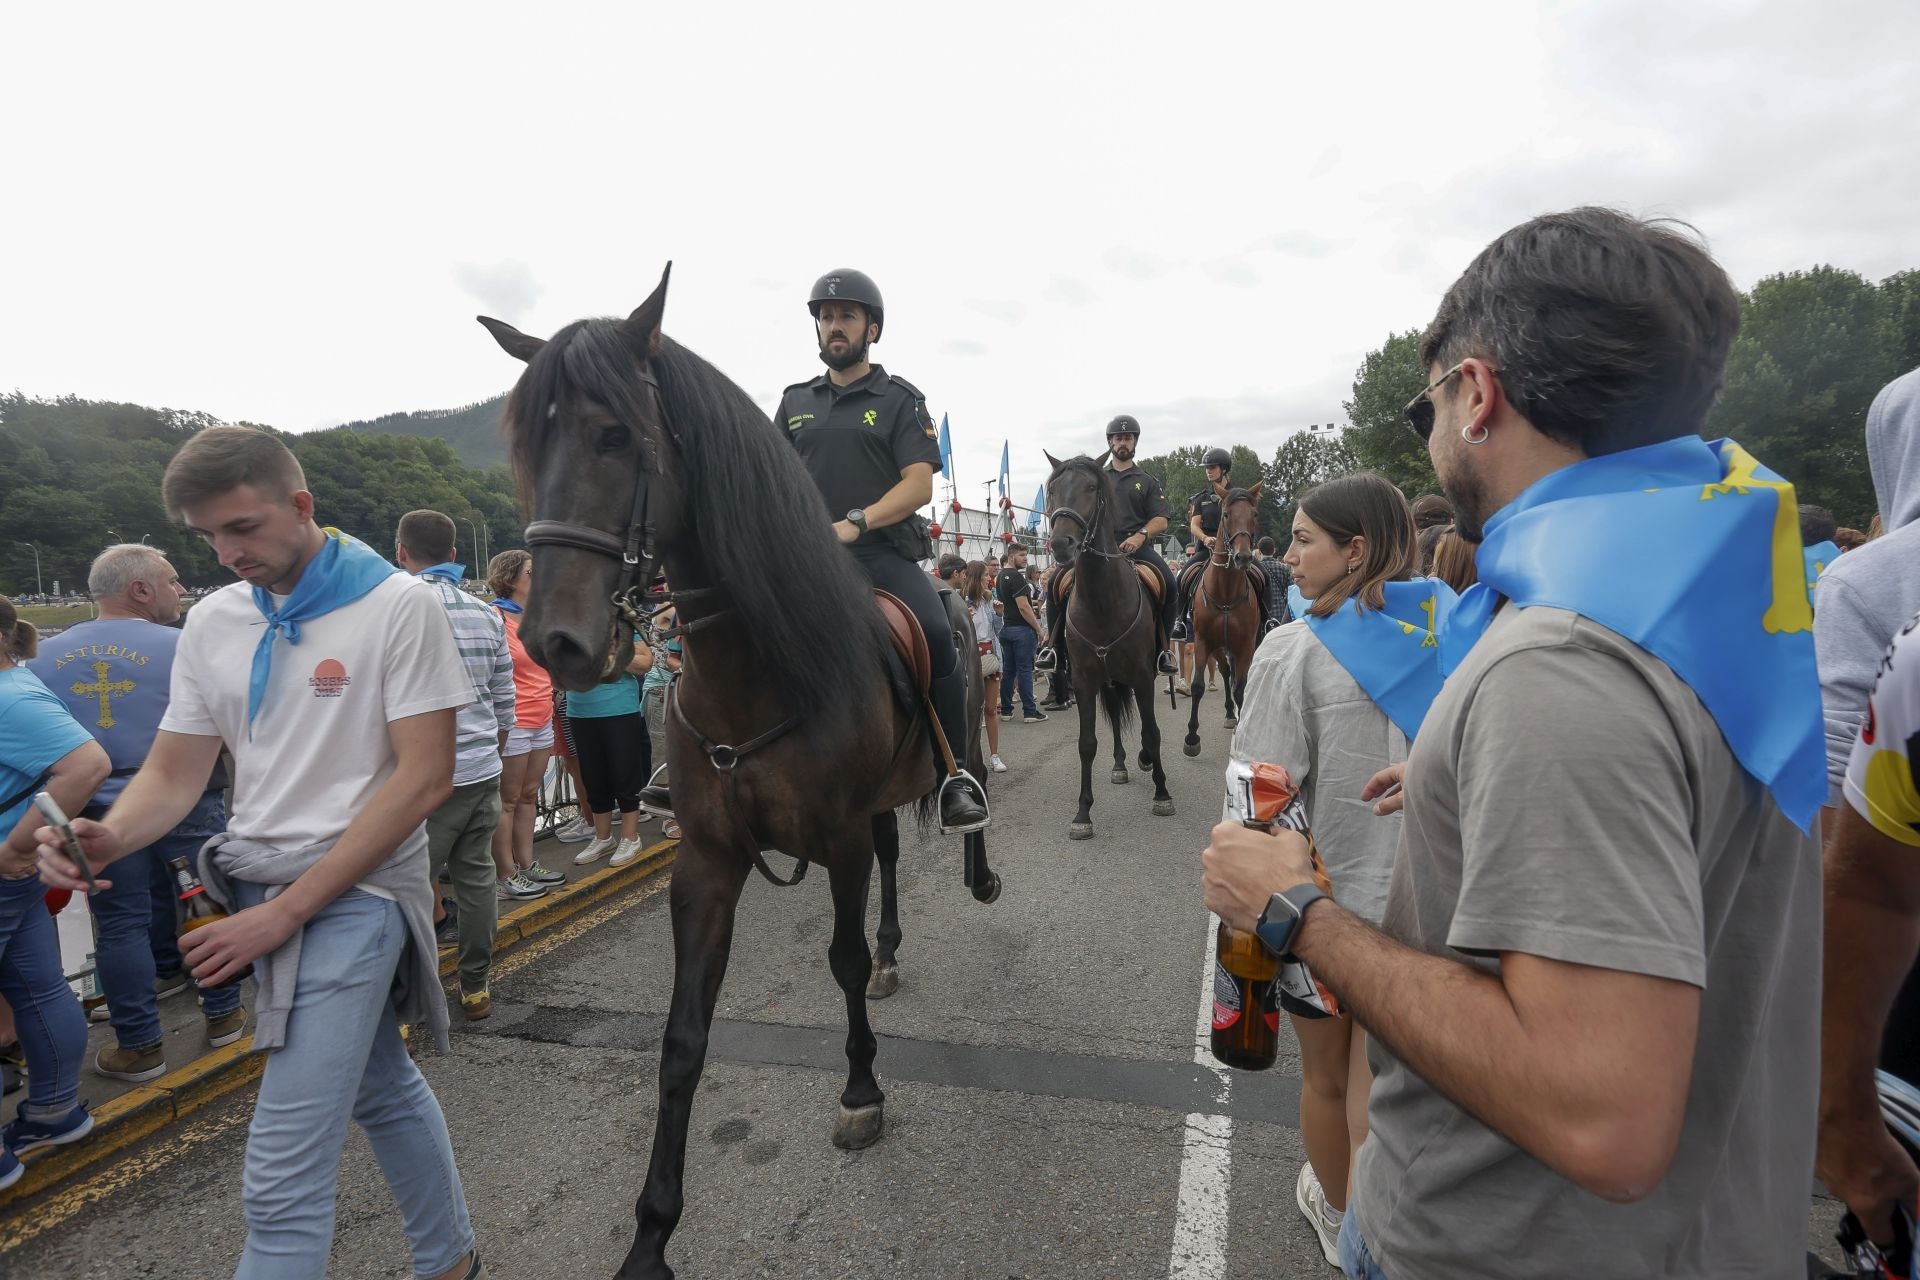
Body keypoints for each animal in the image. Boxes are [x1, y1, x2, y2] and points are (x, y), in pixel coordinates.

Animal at [478, 264, 998, 1274]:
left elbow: (837, 961)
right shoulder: (708, 861)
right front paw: (652, 1234)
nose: (556, 644)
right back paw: (893, 951)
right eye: (525, 444)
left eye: (615, 434)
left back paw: (975, 858)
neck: (755, 675)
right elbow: (683, 1038)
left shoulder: (835, 838)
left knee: (955, 811)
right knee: (891, 861)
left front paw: (861, 1094)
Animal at [1175, 485, 1267, 756]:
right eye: (1226, 514)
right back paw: (1228, 713)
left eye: (1254, 514)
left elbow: (1241, 687)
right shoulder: (1203, 642)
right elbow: (1197, 687)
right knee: (1225, 672)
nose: (1243, 557)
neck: (1225, 592)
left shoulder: (1246, 645)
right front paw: (1191, 738)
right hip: (1217, 646)